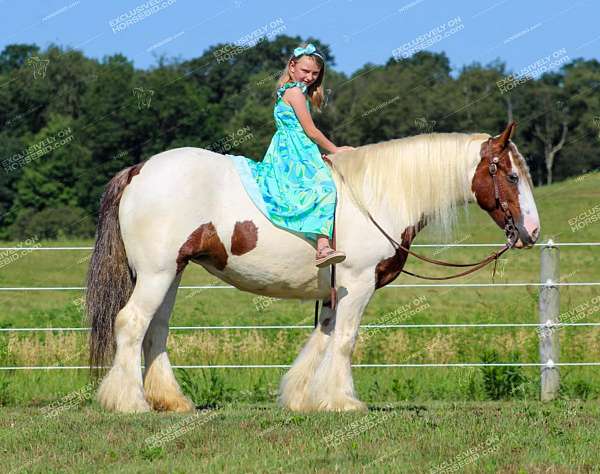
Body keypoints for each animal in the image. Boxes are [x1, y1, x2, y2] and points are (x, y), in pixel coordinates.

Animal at [86, 121, 540, 412]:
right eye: (512, 177)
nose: (532, 231)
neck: (378, 196)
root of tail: (139, 170)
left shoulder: (335, 292)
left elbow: (322, 339)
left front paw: (305, 397)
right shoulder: (358, 284)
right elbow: (345, 341)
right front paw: (344, 401)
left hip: (171, 273)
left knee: (155, 330)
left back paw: (171, 400)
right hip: (157, 273)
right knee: (131, 323)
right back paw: (129, 402)